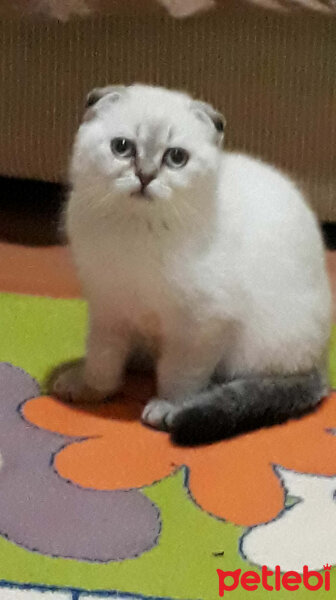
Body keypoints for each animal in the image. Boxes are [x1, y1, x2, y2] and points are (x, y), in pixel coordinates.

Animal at [52, 85, 330, 446]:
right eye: (122, 147)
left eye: (176, 158)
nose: (145, 176)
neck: (137, 232)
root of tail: (322, 364)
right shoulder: (108, 308)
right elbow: (103, 361)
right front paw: (89, 388)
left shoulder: (201, 327)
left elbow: (179, 376)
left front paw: (171, 408)